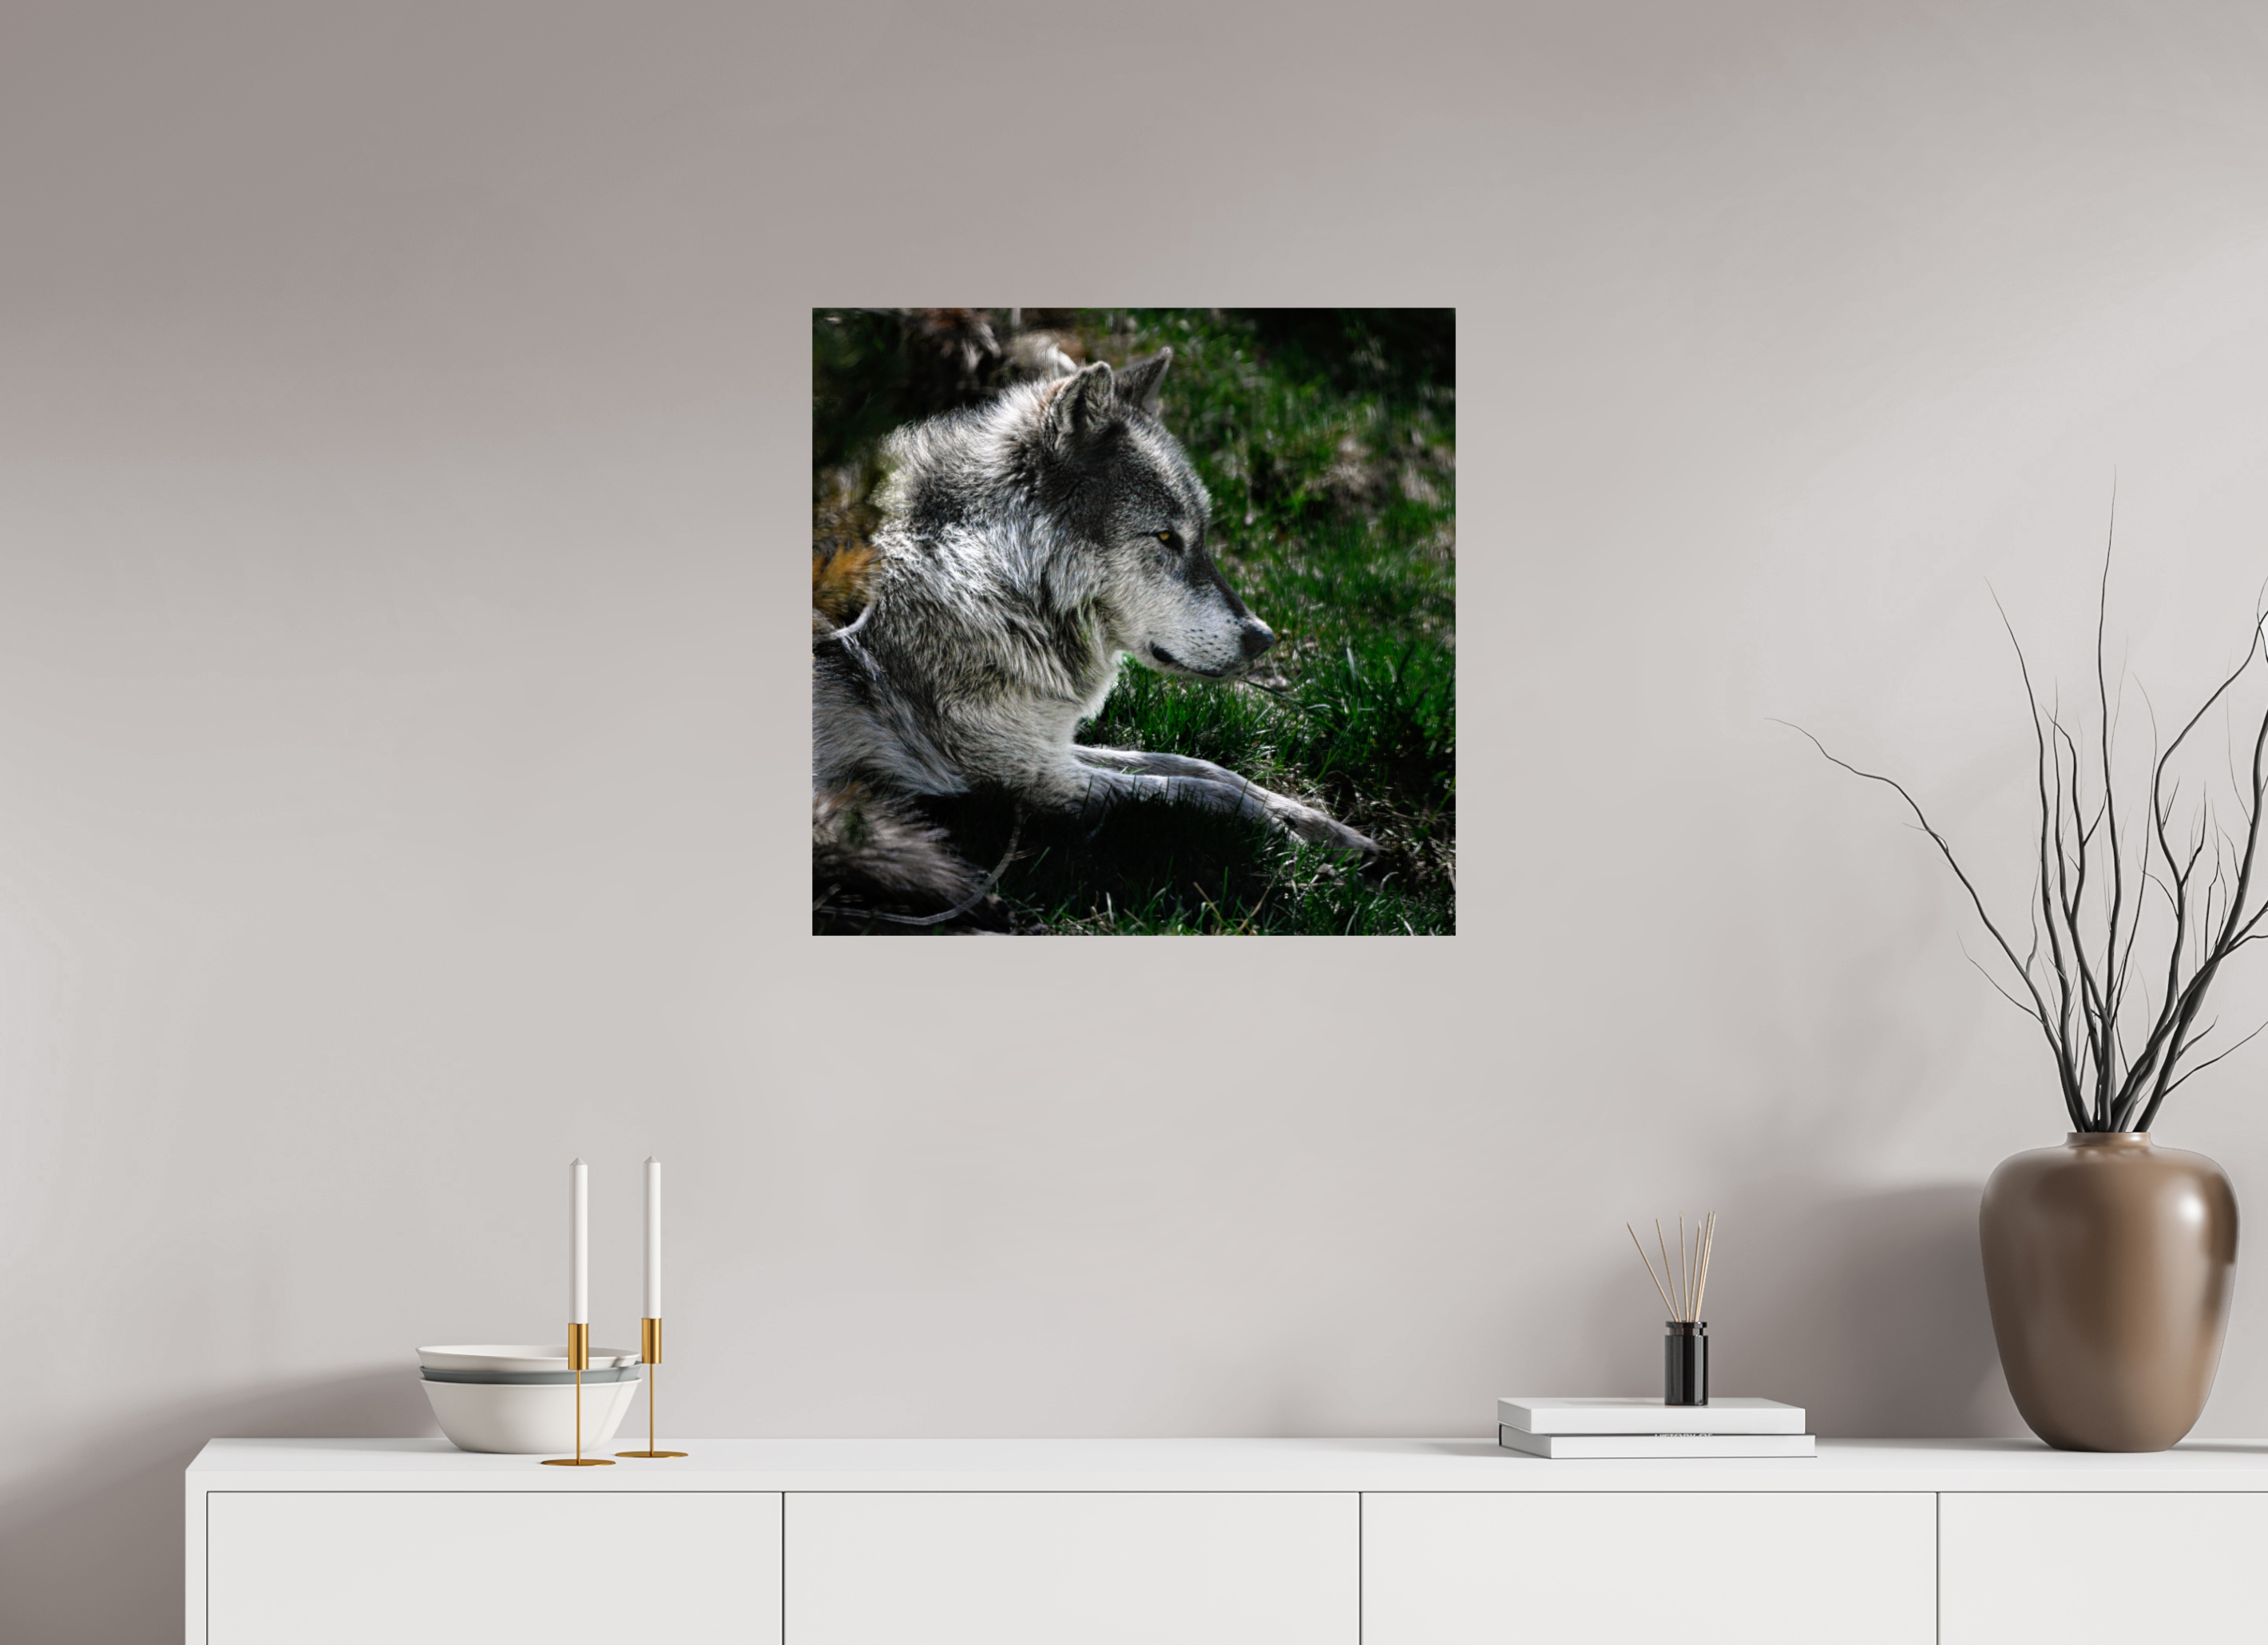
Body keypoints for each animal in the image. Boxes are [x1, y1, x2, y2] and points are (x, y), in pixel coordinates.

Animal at [812, 348, 1379, 883]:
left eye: (1201, 535)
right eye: (1166, 536)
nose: (1263, 638)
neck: (981, 573)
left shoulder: (1049, 746)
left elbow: (1202, 767)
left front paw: (1328, 829)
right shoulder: (1025, 778)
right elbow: (1194, 792)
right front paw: (1286, 840)